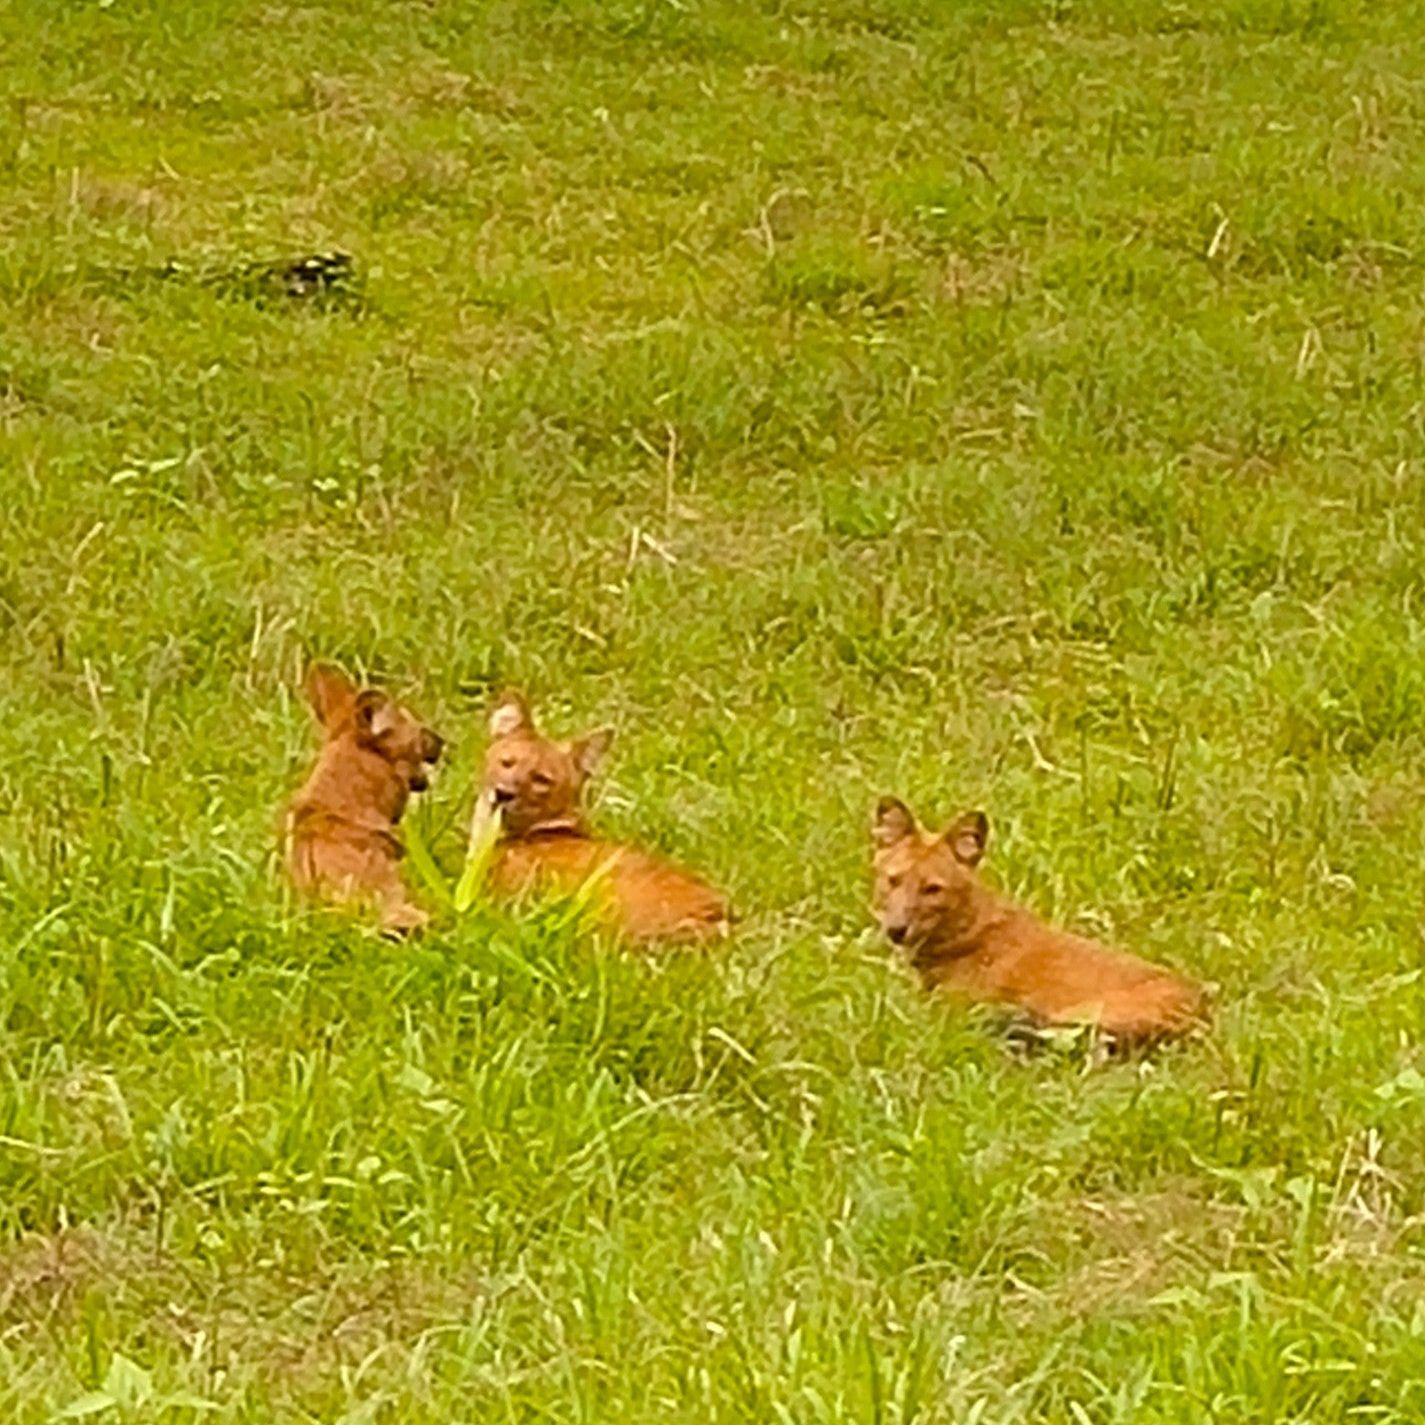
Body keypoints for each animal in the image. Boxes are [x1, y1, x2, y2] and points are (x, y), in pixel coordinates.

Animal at [866, 798, 1202, 1043]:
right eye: (893, 880)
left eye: (932, 889)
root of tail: (1202, 1008)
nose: (896, 930)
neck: (965, 933)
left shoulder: (951, 1007)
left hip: (1086, 1014)